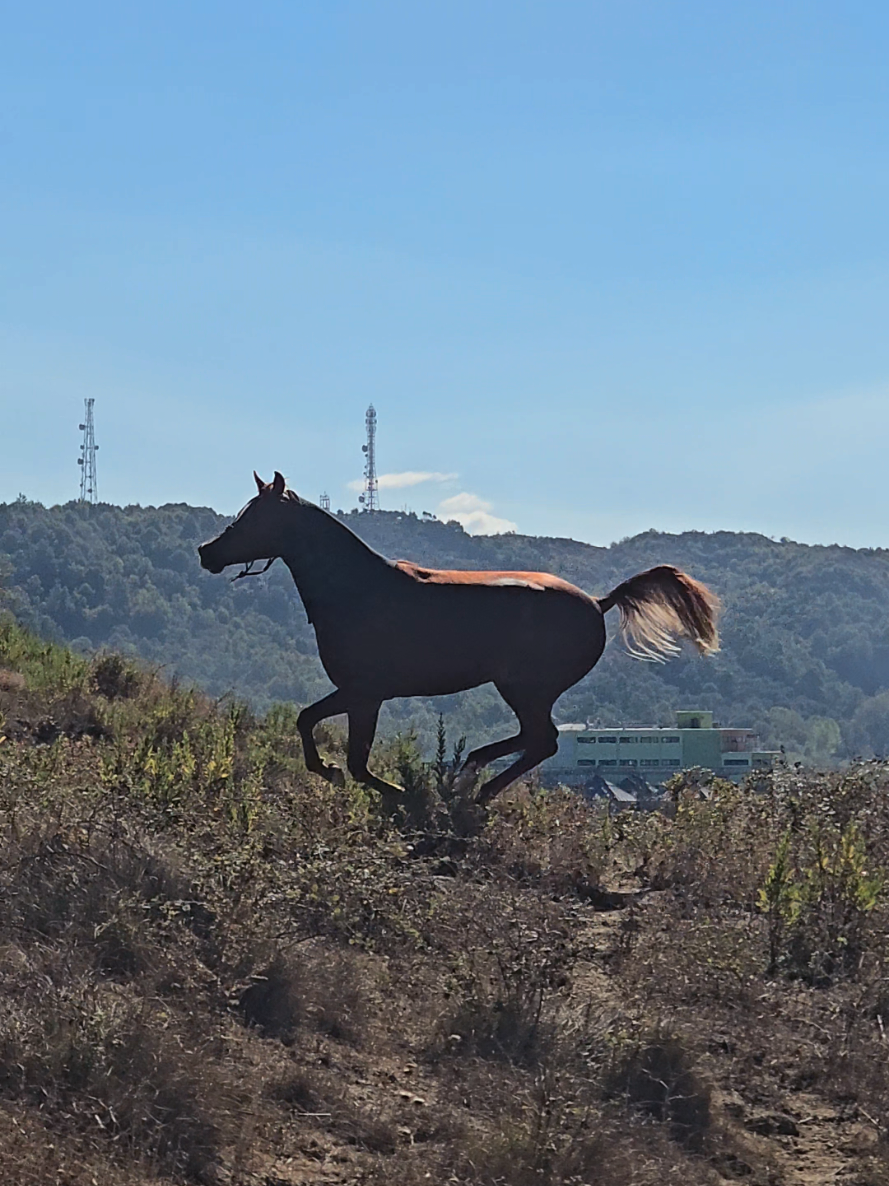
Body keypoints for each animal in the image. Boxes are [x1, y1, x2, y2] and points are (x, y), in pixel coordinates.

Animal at [199, 472, 719, 806]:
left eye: (256, 517)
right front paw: (333, 772)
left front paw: (395, 792)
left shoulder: (365, 693)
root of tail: (598, 602)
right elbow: (309, 723)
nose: (207, 552)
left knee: (543, 741)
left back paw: (473, 785)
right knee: (534, 741)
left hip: (526, 688)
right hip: (524, 690)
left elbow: (355, 761)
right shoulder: (357, 693)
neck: (359, 590)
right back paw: (468, 773)